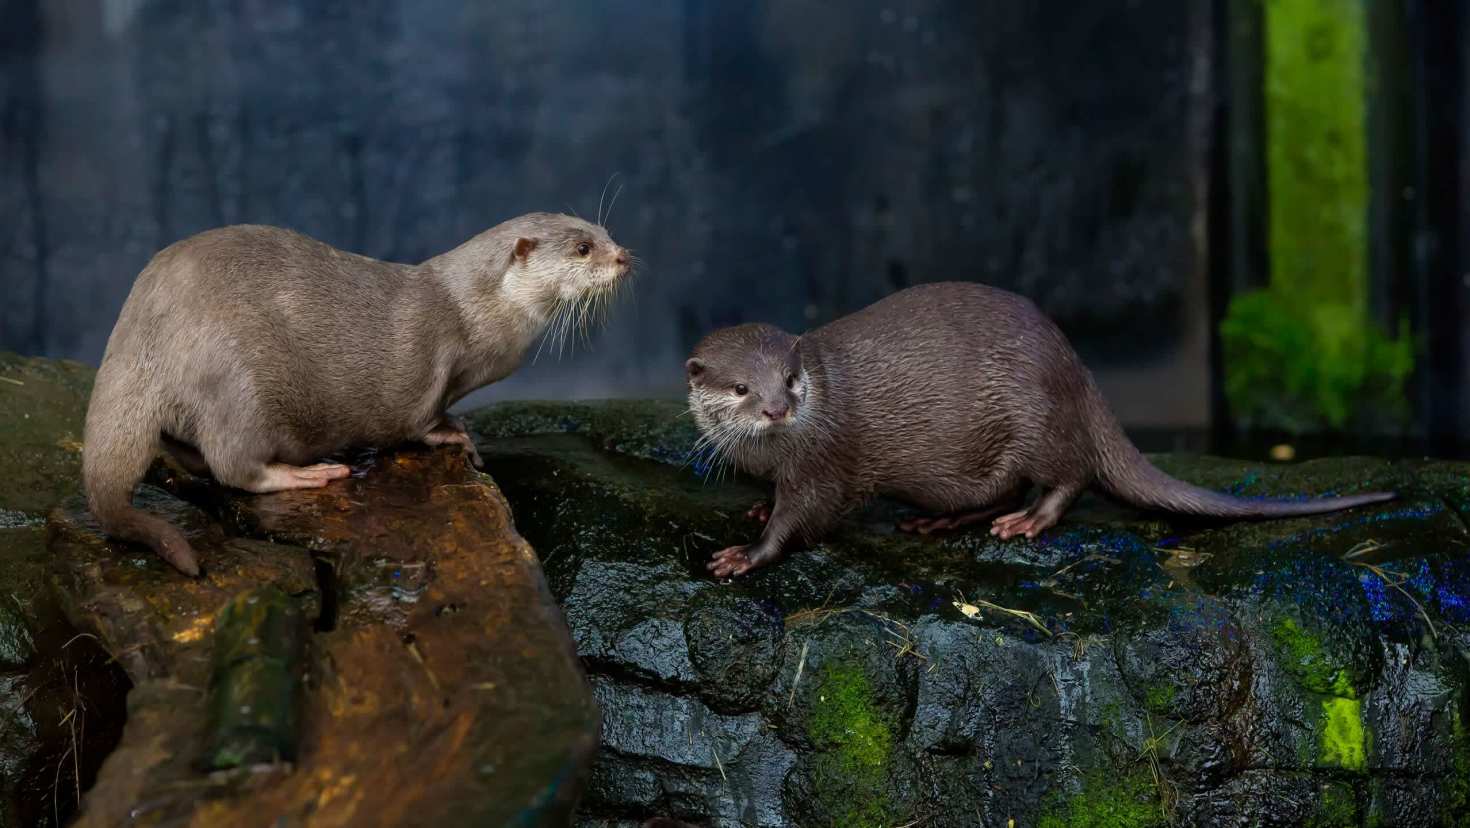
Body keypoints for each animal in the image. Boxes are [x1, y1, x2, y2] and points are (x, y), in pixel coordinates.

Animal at [84, 213, 632, 575]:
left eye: (607, 233)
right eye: (583, 248)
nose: (624, 256)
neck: (473, 312)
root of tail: (145, 327)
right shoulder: (428, 363)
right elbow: (419, 416)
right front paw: (452, 436)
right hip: (236, 379)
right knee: (232, 465)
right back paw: (307, 473)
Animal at [685, 282, 1394, 578]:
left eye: (790, 378)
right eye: (743, 388)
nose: (777, 409)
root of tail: (1077, 368)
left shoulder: (824, 462)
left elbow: (804, 518)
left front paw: (746, 554)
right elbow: (775, 503)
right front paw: (756, 509)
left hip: (1035, 416)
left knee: (1069, 476)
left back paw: (1029, 521)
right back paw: (942, 521)